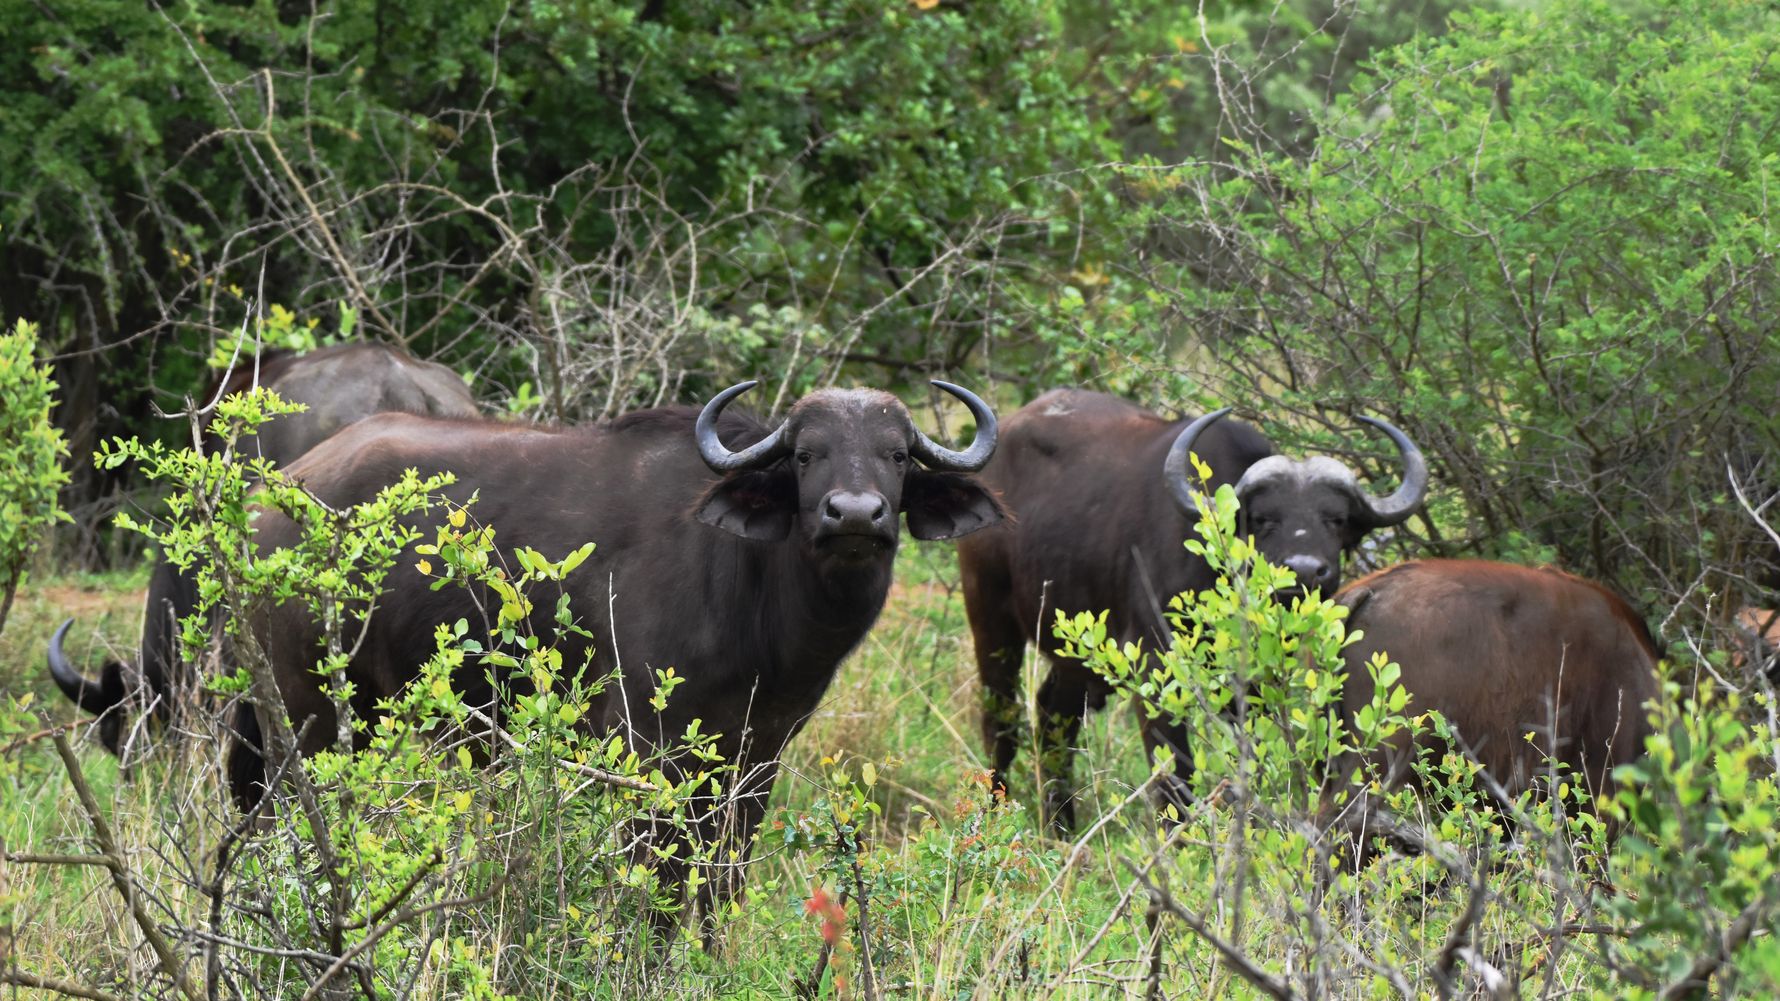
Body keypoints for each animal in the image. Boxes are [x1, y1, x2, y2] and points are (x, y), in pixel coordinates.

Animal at [234, 381, 1003, 921]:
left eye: (897, 455)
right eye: (807, 454)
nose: (855, 515)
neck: (748, 585)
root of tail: (277, 497)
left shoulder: (758, 757)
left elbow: (722, 880)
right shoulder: (643, 744)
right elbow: (656, 875)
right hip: (302, 719)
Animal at [957, 390, 1427, 831]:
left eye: (1336, 518)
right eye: (1263, 518)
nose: (1305, 570)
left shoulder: (1257, 685)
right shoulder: (1154, 669)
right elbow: (1174, 775)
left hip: (1076, 653)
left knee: (1053, 717)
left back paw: (1060, 826)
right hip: (992, 621)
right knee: (1001, 720)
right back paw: (997, 813)